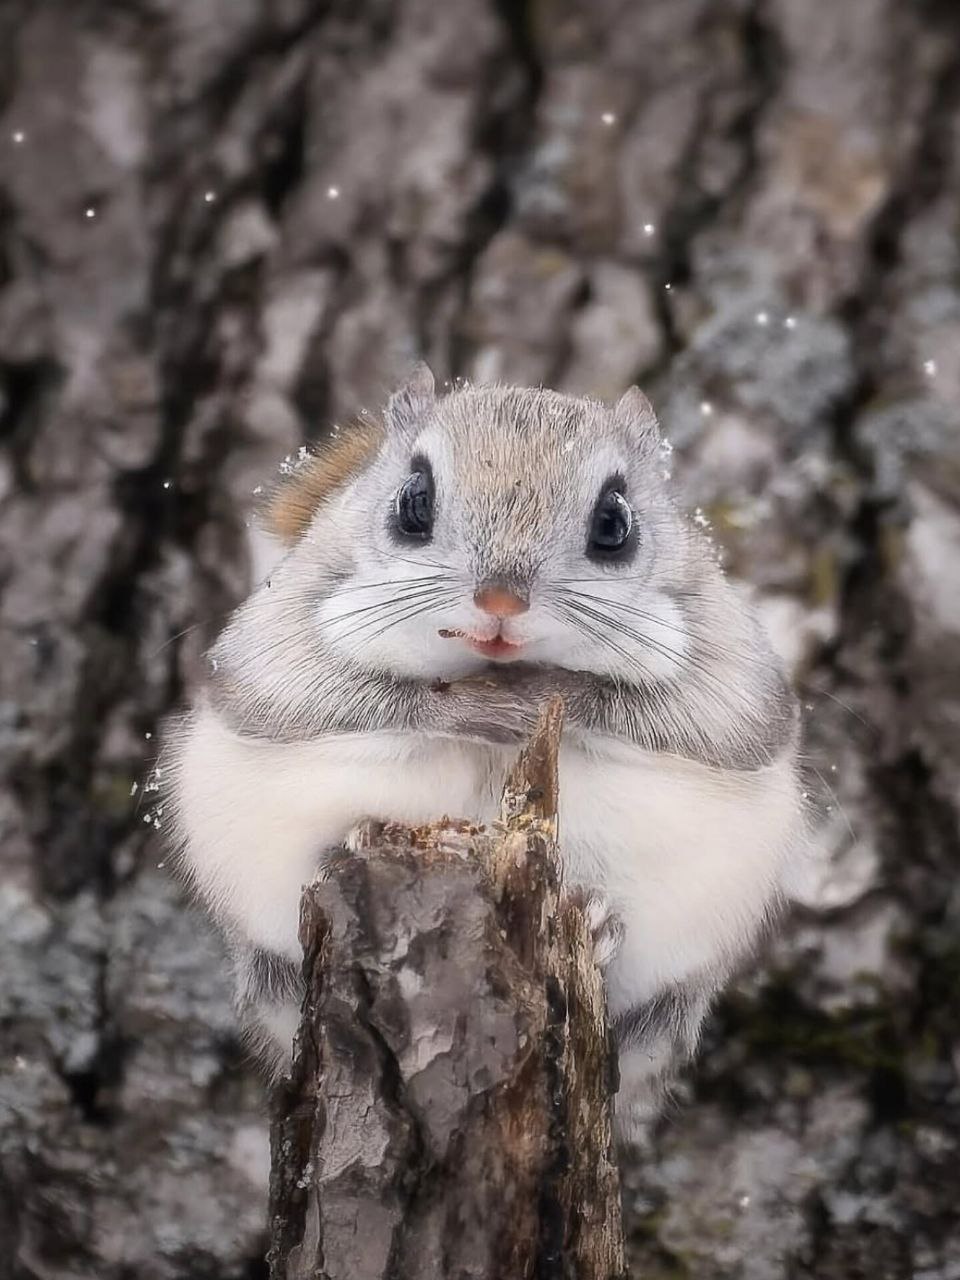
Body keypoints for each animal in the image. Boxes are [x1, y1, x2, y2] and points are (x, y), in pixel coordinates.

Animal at [165, 365, 806, 1142]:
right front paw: (478, 708)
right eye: (413, 502)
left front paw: (548, 694)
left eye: (615, 523)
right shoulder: (270, 651)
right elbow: (327, 699)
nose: (501, 600)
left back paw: (601, 921)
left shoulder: (735, 682)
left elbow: (701, 722)